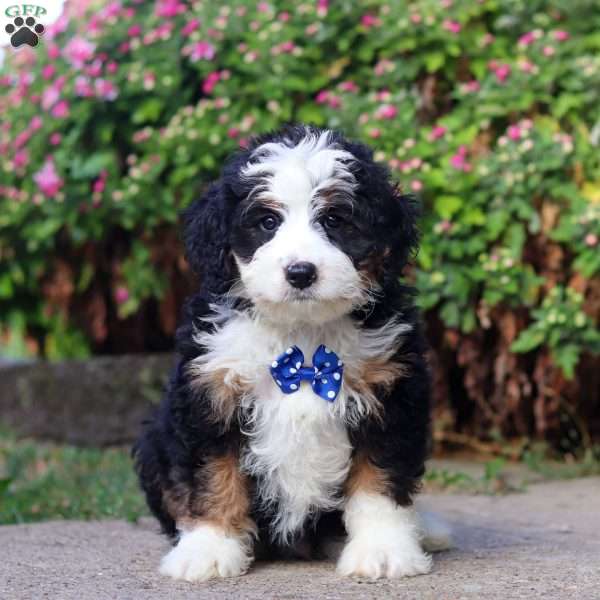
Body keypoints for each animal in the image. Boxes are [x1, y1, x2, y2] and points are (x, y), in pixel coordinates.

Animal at [134, 125, 448, 580]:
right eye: (267, 222)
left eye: (334, 220)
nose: (301, 272)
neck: (302, 338)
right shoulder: (210, 393)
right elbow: (211, 477)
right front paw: (209, 548)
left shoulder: (391, 394)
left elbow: (379, 480)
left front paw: (383, 549)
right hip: (154, 440)